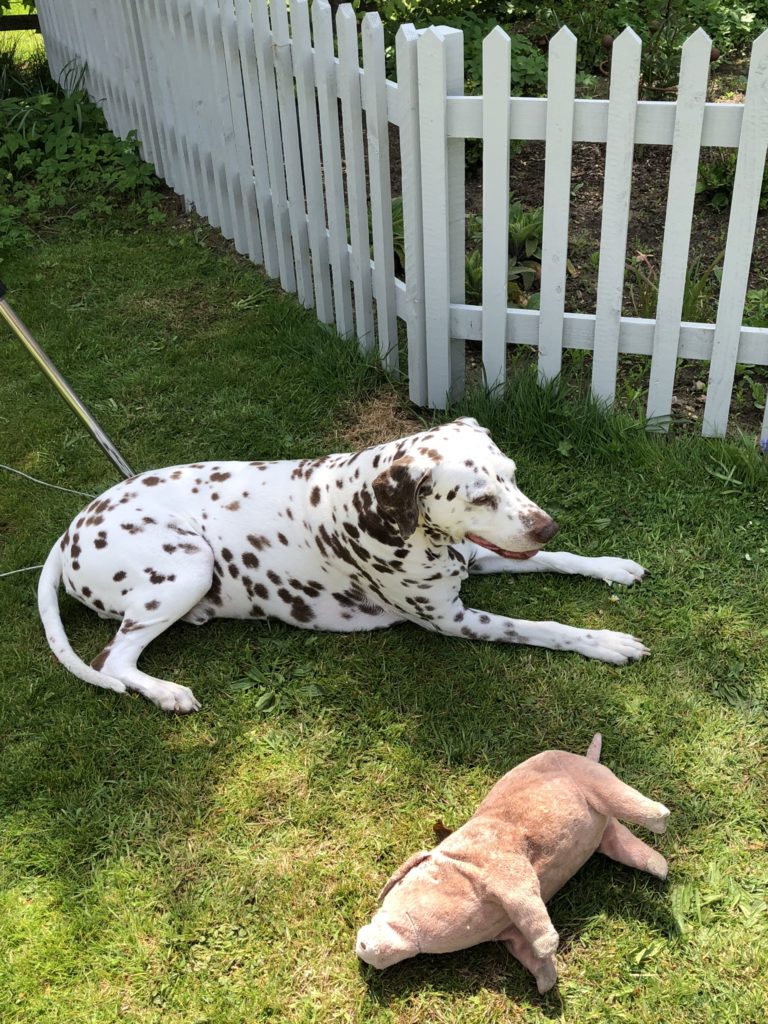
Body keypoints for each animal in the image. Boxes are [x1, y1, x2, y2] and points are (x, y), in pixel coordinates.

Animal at [37, 415, 651, 712]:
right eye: (479, 496)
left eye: (513, 475)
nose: (547, 523)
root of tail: (68, 531)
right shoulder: (454, 619)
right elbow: (543, 627)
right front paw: (605, 641)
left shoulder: (475, 557)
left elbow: (557, 559)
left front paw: (609, 566)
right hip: (189, 565)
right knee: (115, 659)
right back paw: (166, 692)